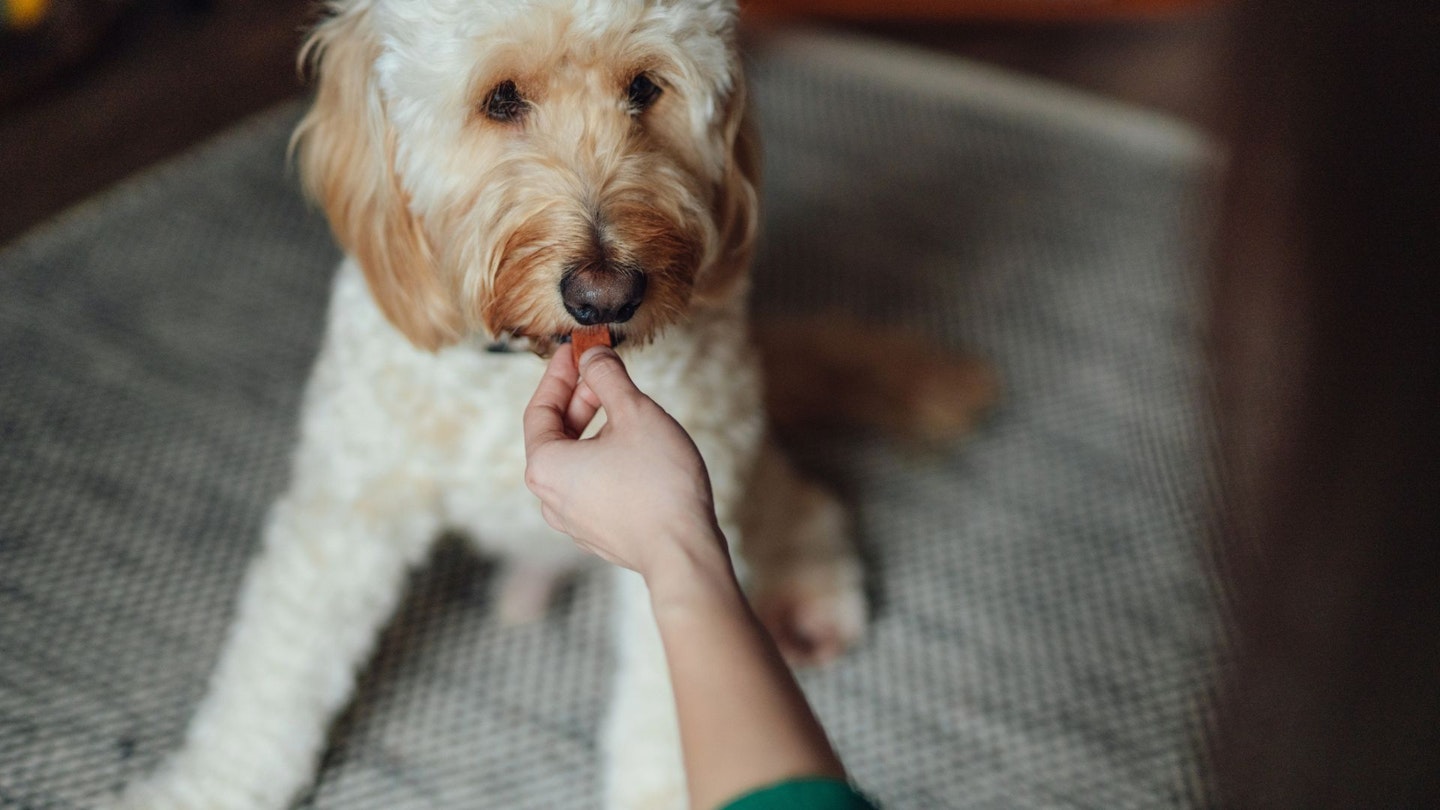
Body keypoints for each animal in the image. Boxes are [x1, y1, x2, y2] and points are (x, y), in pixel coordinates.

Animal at [109, 3, 990, 801]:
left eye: (645, 88)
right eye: (500, 99)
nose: (607, 294)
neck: (514, 367)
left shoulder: (678, 539)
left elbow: (667, 702)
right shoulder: (348, 508)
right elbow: (273, 676)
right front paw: (210, 785)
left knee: (799, 497)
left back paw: (808, 590)